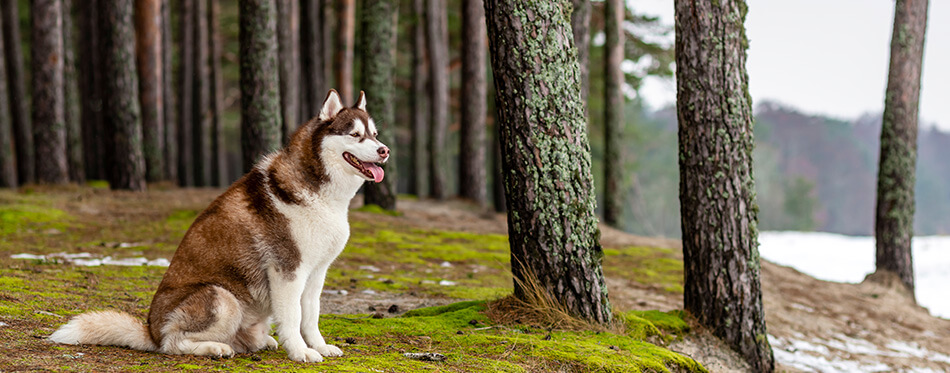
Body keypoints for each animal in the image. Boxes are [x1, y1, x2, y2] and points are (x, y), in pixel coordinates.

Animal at [47, 88, 390, 362]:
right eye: (355, 135)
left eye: (374, 134)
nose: (384, 150)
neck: (323, 193)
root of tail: (150, 330)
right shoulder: (287, 271)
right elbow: (293, 317)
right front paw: (300, 352)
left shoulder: (316, 272)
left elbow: (311, 316)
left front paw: (319, 346)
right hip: (222, 297)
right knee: (173, 343)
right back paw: (215, 348)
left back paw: (258, 341)